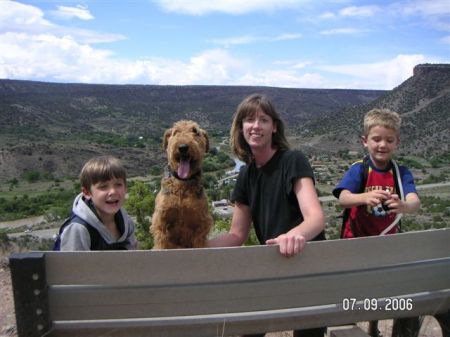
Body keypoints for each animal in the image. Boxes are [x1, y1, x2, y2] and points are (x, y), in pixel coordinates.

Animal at [150, 119, 214, 248]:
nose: (183, 147)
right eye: (175, 132)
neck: (182, 183)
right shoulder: (161, 220)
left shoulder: (201, 222)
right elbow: (162, 242)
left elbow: (199, 242)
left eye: (195, 131)